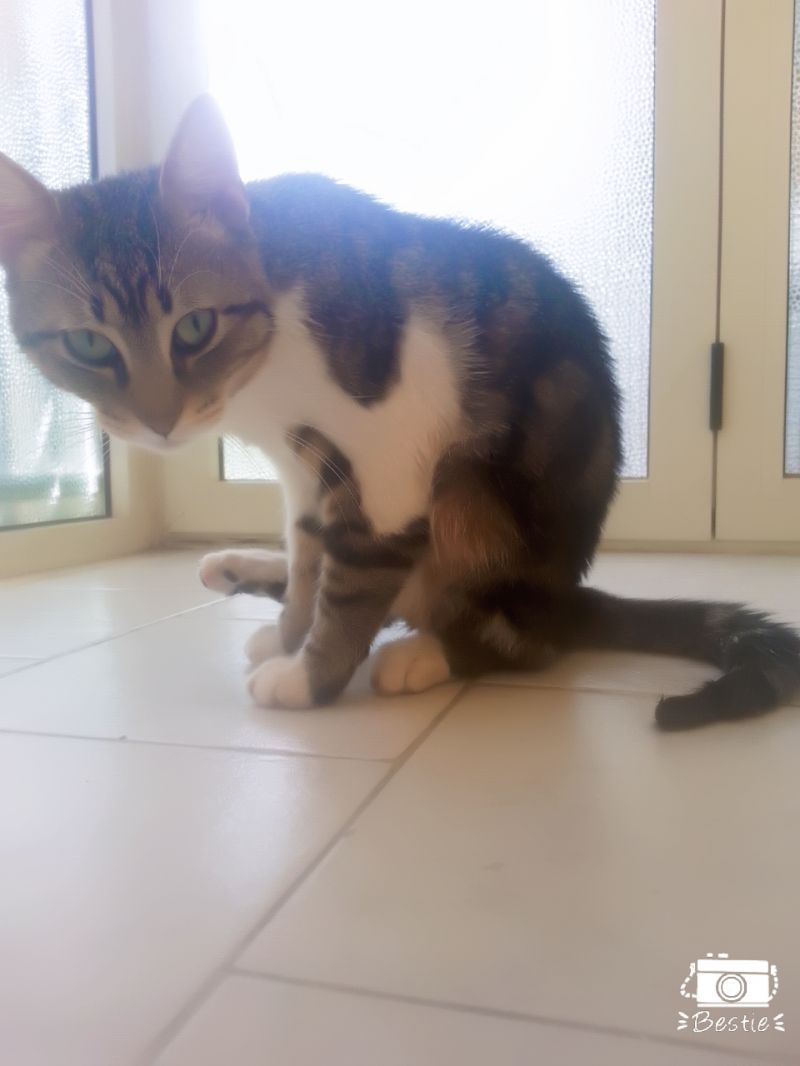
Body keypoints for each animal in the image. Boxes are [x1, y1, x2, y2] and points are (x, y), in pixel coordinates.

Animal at [1, 95, 798, 728]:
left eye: (194, 328)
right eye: (86, 344)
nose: (159, 420)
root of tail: (568, 596)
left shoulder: (388, 458)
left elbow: (351, 577)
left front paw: (309, 676)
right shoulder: (303, 468)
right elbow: (308, 554)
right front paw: (290, 634)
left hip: (476, 496)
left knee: (517, 636)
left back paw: (425, 653)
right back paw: (238, 570)